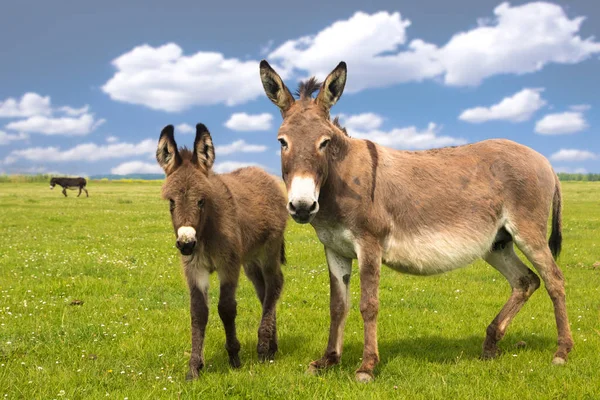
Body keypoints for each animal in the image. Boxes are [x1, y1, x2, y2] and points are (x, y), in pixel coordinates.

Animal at [154, 122, 288, 378]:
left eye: (201, 201)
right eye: (171, 202)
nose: (186, 243)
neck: (206, 231)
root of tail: (263, 173)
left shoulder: (229, 265)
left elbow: (226, 308)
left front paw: (234, 357)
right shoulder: (195, 268)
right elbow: (198, 312)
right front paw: (194, 368)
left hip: (269, 250)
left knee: (275, 284)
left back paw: (263, 348)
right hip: (250, 260)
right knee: (264, 290)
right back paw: (273, 345)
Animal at [260, 61, 576, 382]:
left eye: (324, 142)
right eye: (282, 142)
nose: (301, 207)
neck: (341, 179)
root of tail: (544, 159)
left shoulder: (369, 245)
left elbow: (368, 305)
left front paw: (367, 366)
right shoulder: (334, 249)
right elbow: (338, 305)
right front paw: (328, 360)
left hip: (528, 232)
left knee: (554, 280)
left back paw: (562, 352)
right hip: (497, 243)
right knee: (525, 281)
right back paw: (490, 344)